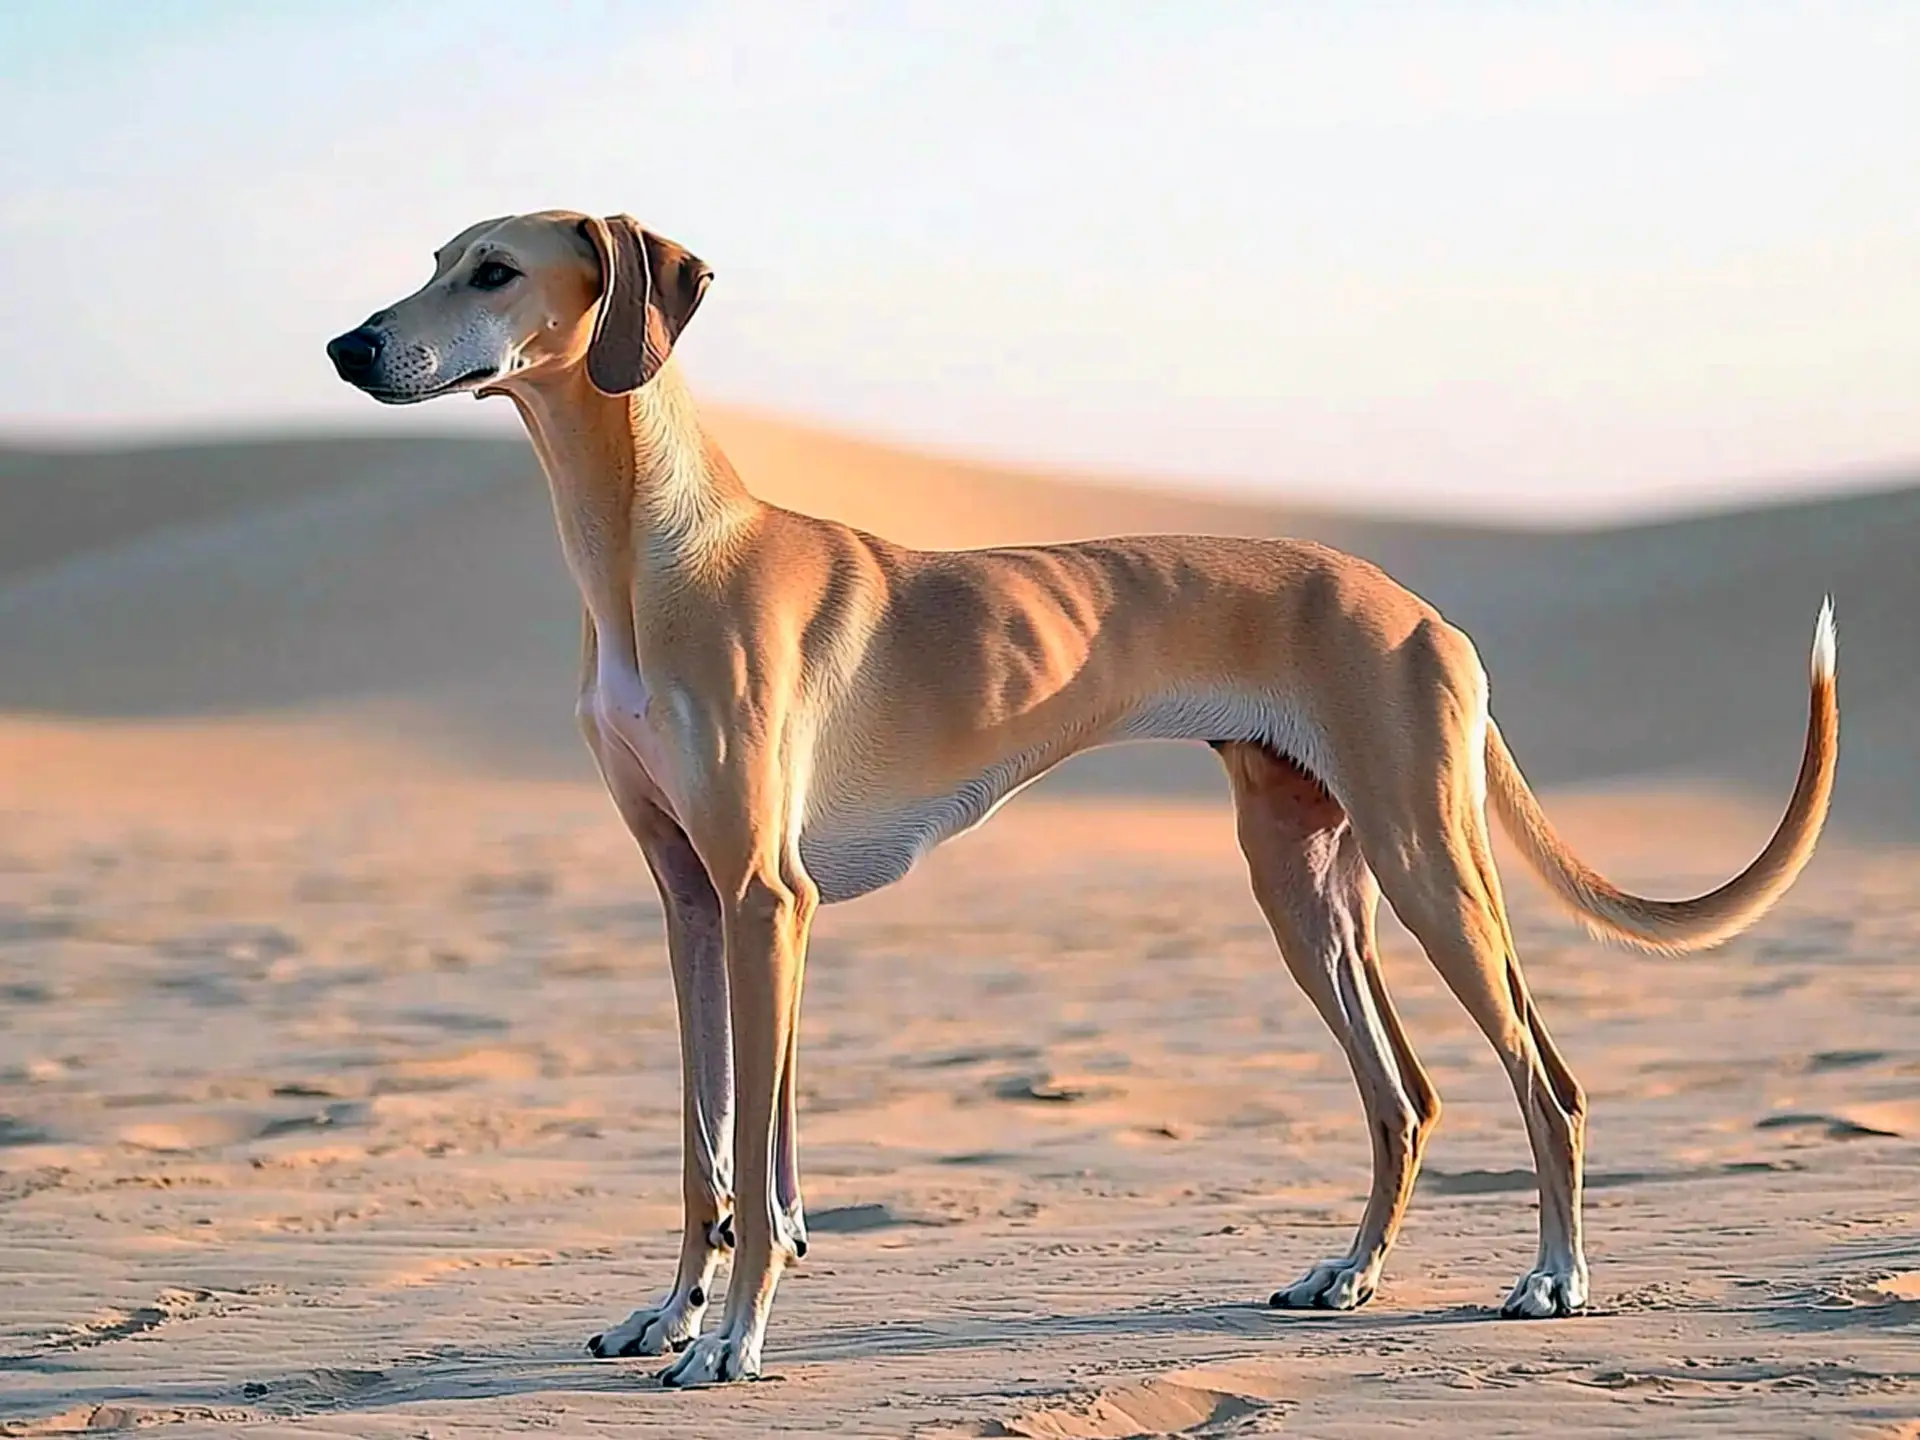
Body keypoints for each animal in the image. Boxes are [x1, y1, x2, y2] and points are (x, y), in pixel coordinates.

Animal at [330, 211, 1843, 1390]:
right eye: (436, 259)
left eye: (493, 271)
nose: (348, 348)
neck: (657, 554)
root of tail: (1427, 614)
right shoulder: (694, 901)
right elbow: (714, 1143)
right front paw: (669, 1314)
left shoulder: (769, 899)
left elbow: (753, 1167)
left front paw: (734, 1341)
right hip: (1306, 883)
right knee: (1404, 1095)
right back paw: (1348, 1277)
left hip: (1428, 867)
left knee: (1549, 1079)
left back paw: (1554, 1281)